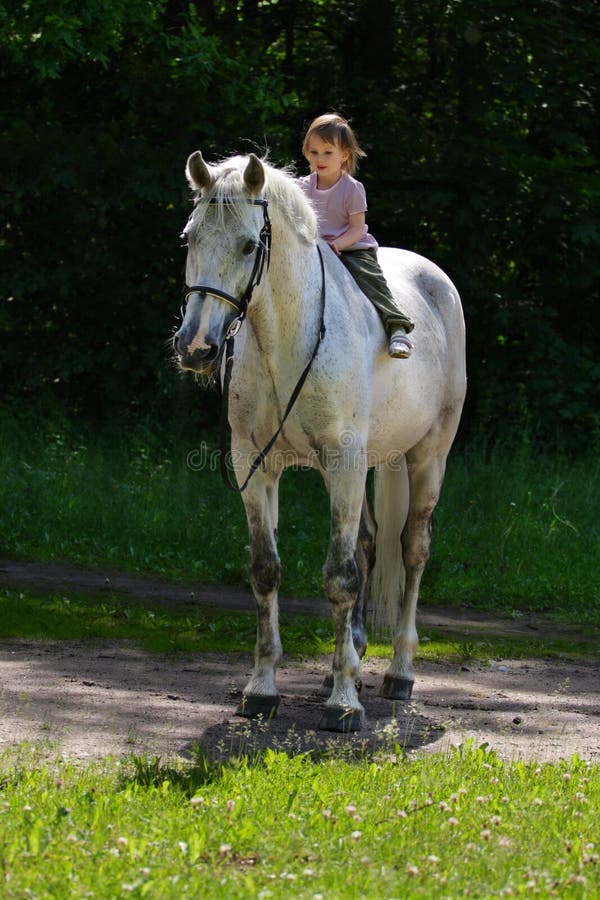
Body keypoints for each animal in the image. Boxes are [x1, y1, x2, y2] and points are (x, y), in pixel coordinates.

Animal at [172, 153, 464, 732]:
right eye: (190, 238)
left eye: (248, 245)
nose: (196, 347)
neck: (286, 340)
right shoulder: (256, 466)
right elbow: (266, 570)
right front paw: (262, 690)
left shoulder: (345, 462)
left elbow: (341, 577)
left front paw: (345, 705)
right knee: (370, 544)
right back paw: (342, 666)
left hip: (426, 457)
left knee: (412, 549)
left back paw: (398, 672)